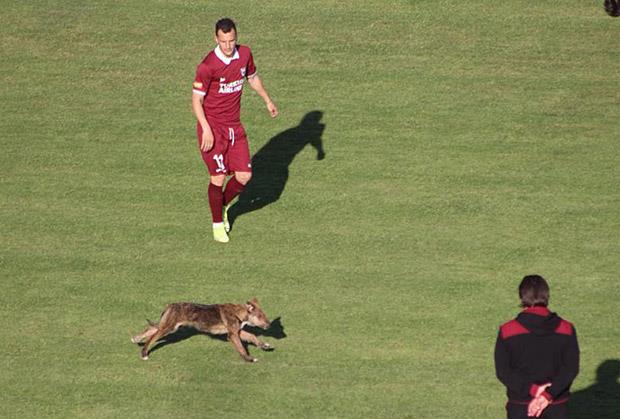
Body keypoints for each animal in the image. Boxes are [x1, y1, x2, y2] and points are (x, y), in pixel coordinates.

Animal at [132, 298, 273, 362]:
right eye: (260, 316)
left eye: (264, 315)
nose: (269, 325)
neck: (239, 313)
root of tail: (170, 305)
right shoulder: (233, 335)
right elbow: (241, 348)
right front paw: (249, 359)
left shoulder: (237, 331)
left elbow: (252, 336)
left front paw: (264, 345)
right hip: (168, 327)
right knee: (152, 337)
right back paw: (144, 353)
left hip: (167, 326)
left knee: (151, 329)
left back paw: (136, 338)